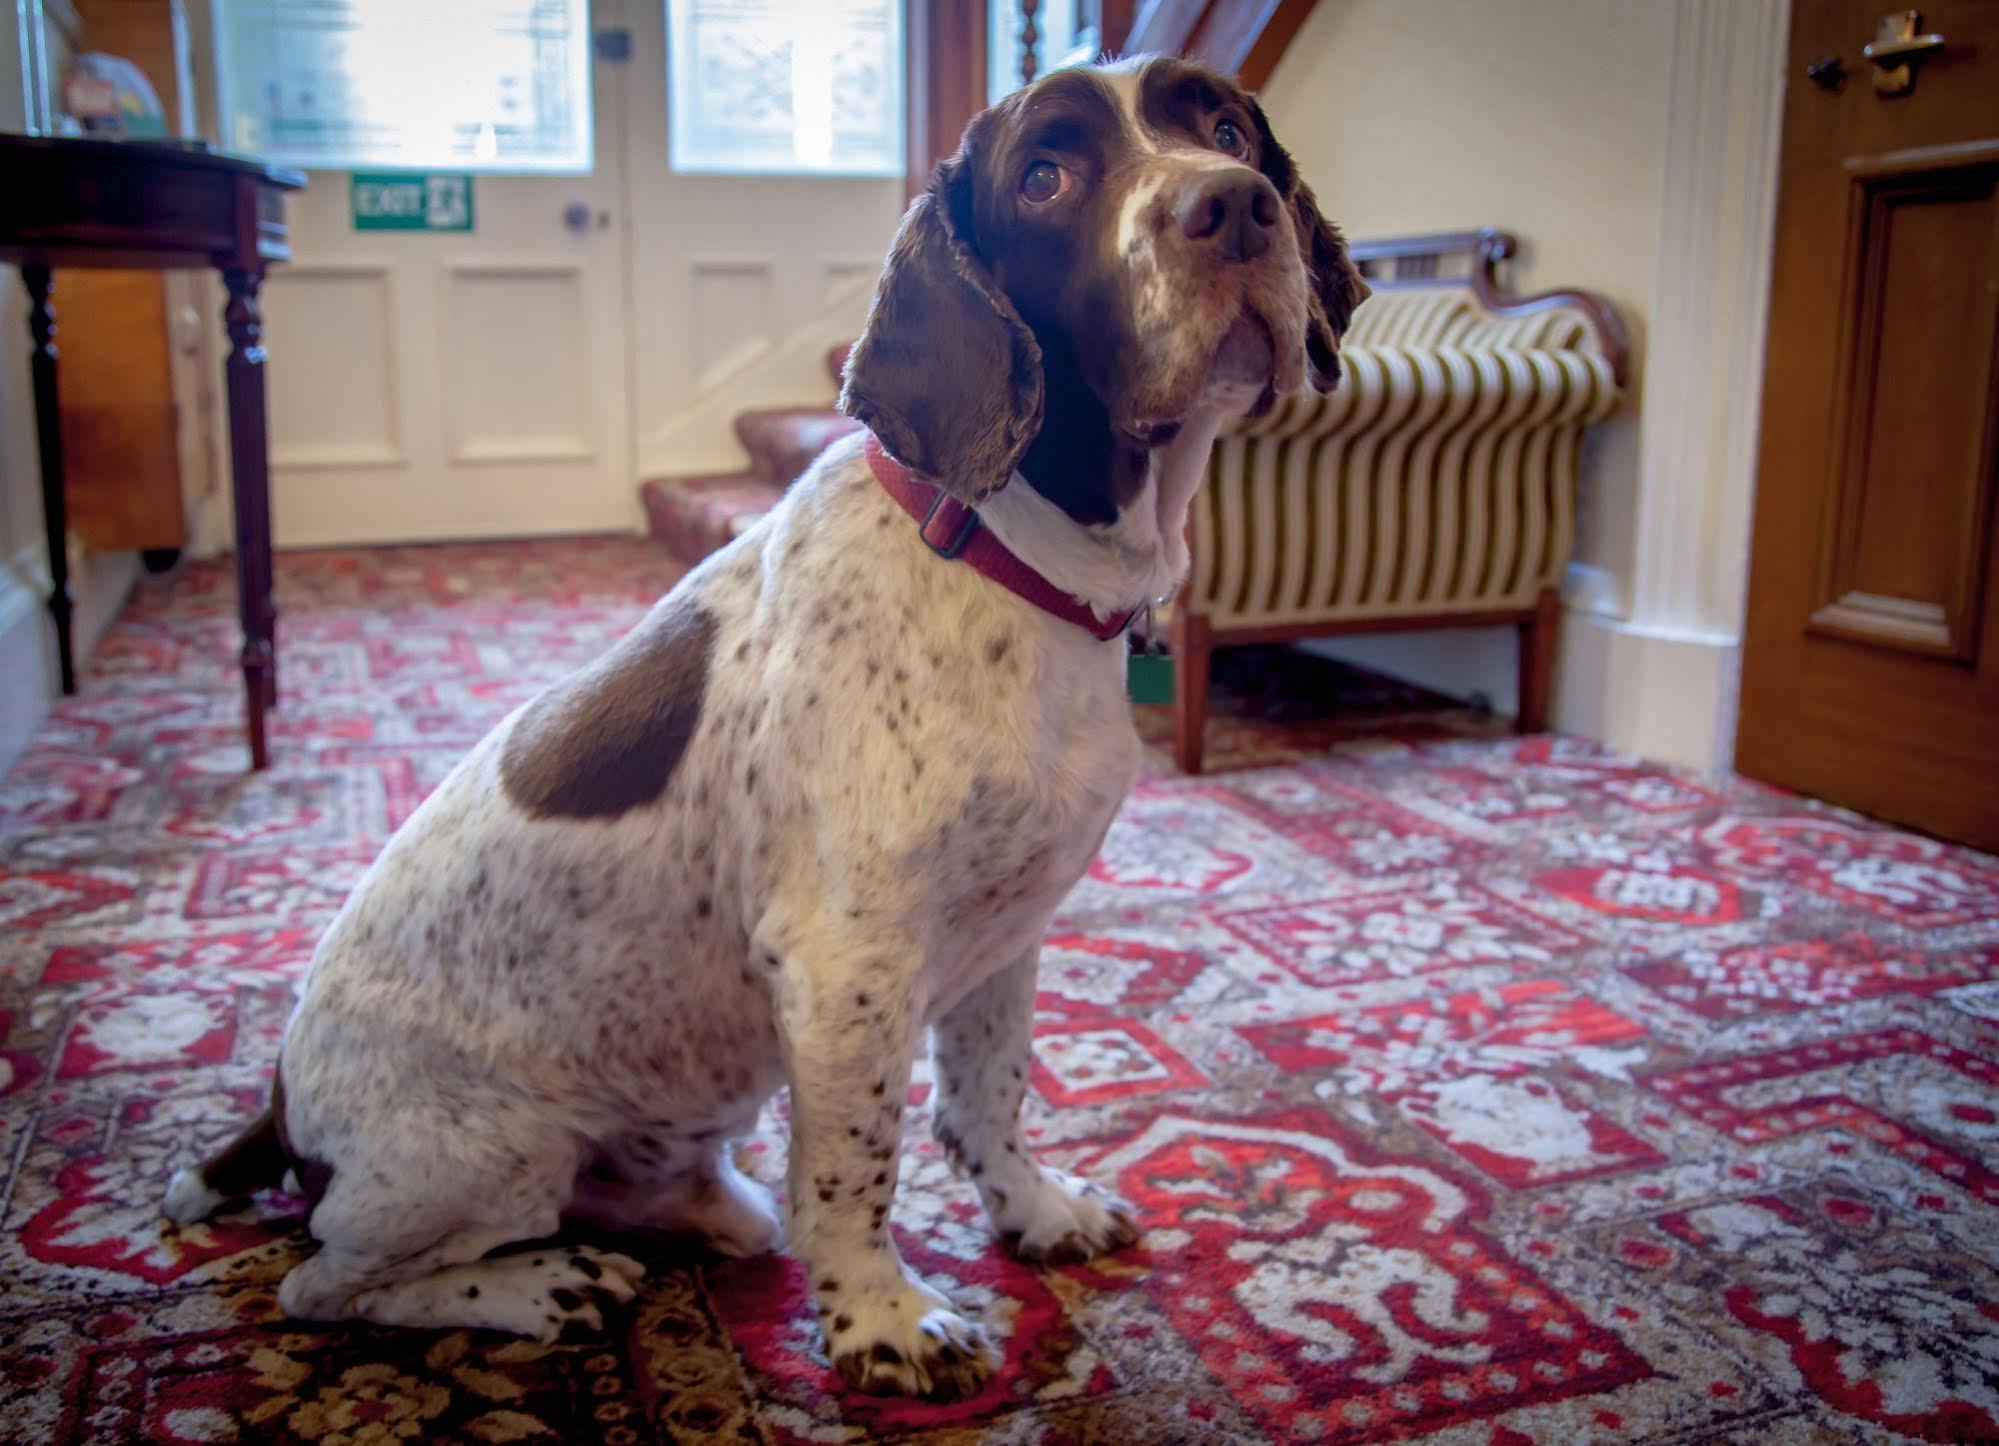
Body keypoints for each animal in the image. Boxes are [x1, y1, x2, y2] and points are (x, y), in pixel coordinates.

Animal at [163, 56, 1367, 1400]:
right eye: (1046, 175)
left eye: (1228, 129)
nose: (1234, 208)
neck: (1007, 562)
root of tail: (280, 1103)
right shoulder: (850, 964)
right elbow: (854, 1164)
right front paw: (884, 1319)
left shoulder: (1006, 932)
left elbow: (988, 1097)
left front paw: (1033, 1213)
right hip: (484, 1151)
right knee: (328, 1283)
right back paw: (541, 1286)